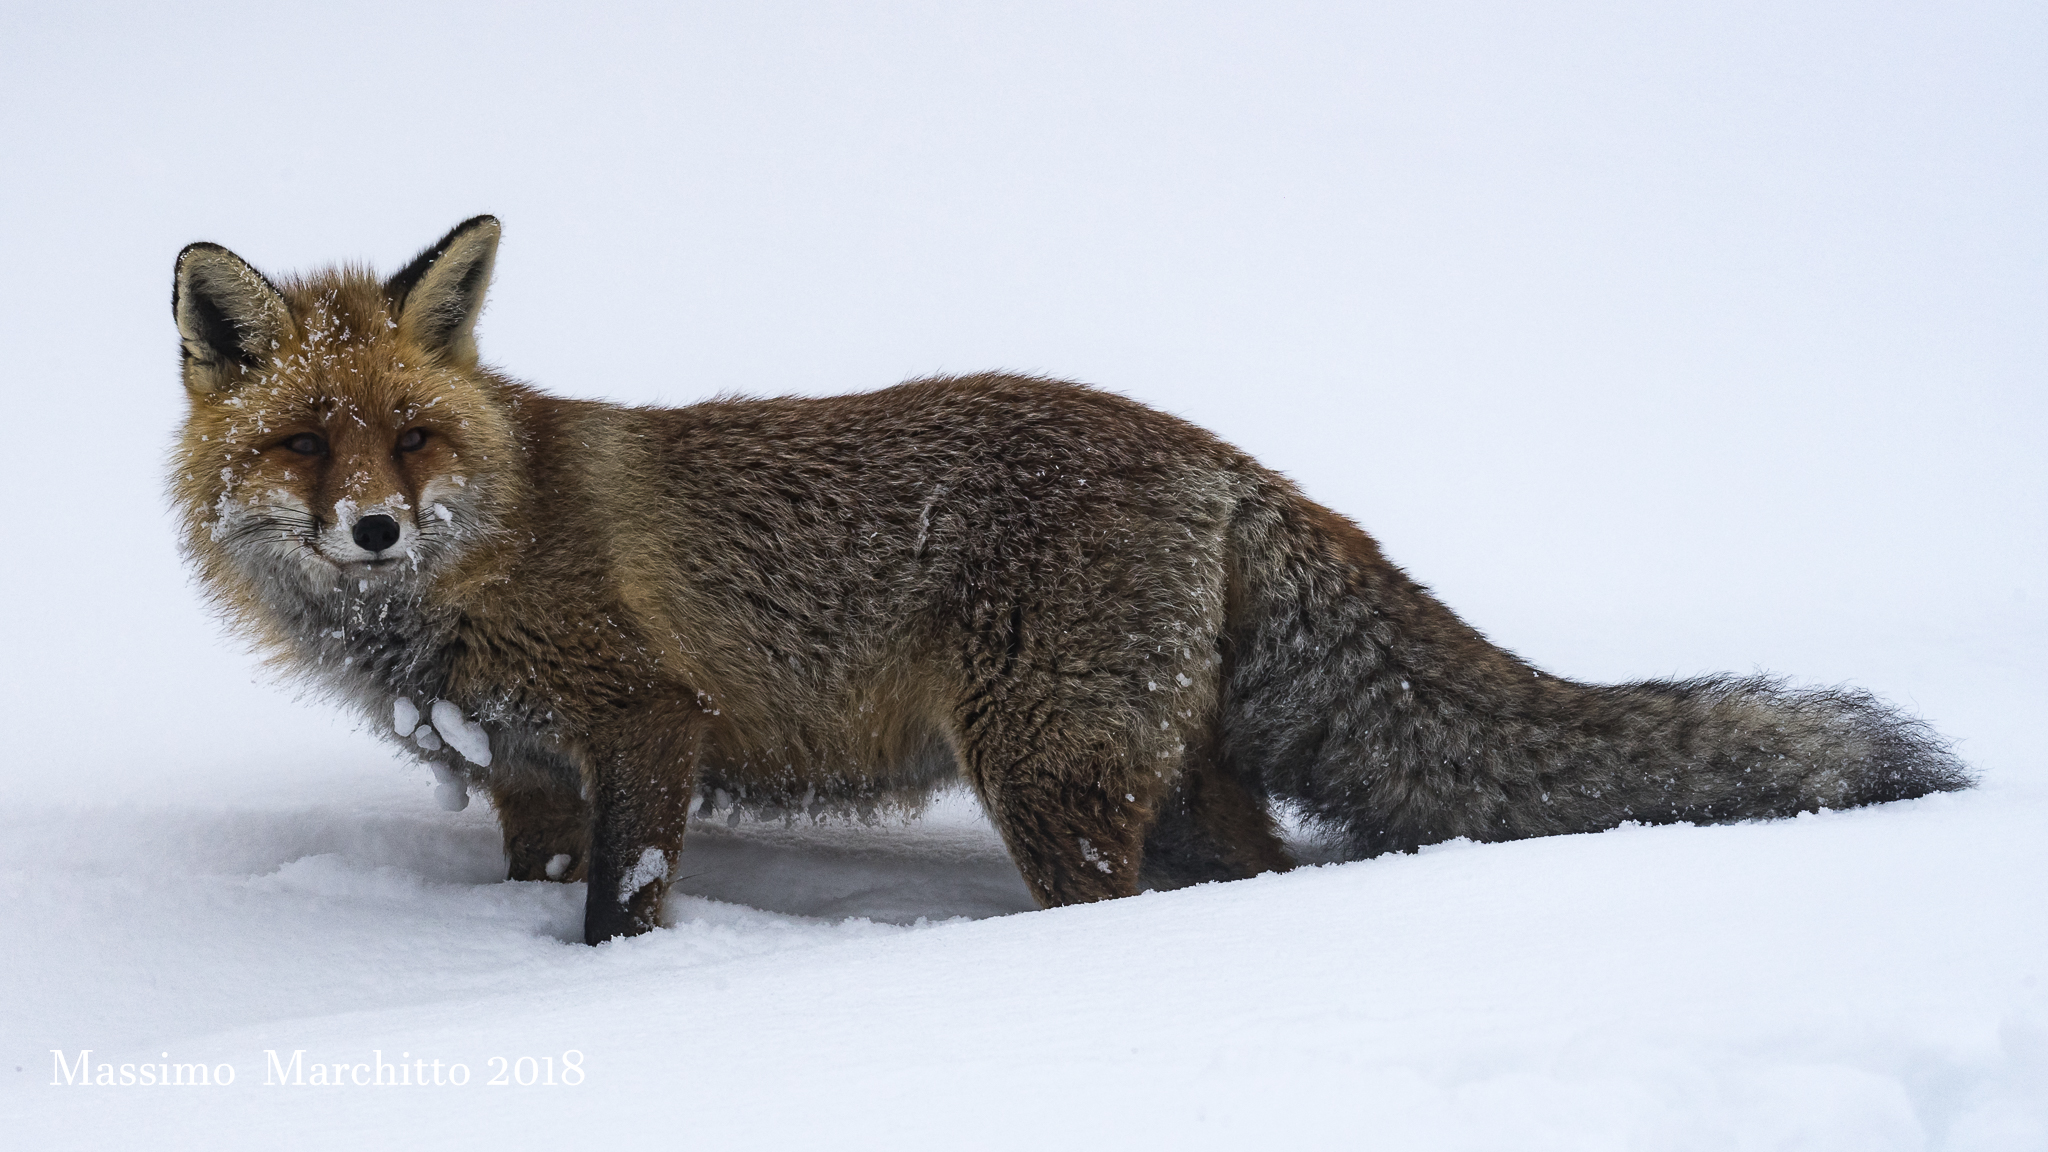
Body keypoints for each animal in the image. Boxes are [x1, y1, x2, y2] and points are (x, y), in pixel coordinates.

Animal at [170, 215, 1971, 944]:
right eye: (306, 444)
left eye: (412, 436)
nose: (374, 529)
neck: (478, 558)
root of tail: (1212, 452)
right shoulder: (537, 769)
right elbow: (552, 885)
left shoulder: (649, 721)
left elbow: (624, 913)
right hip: (1169, 780)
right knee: (1255, 882)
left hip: (1048, 774)